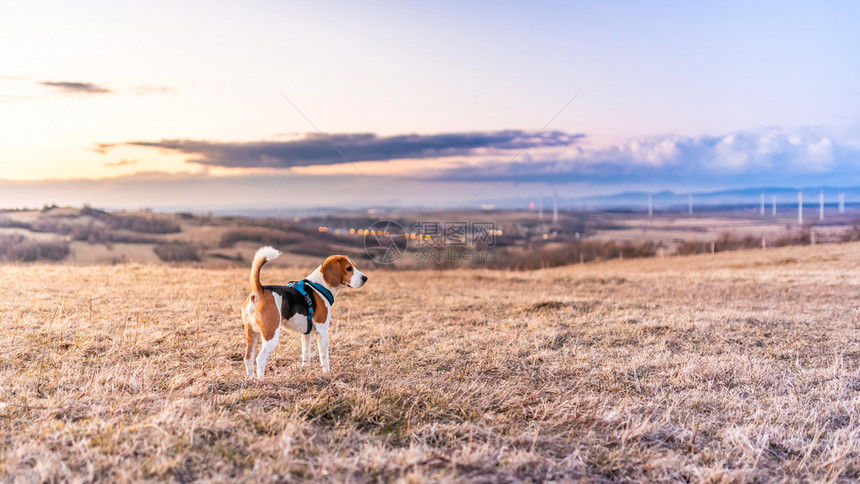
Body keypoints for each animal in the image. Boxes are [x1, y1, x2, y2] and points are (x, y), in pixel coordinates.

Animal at [240, 246, 368, 378]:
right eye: (349, 268)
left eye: (354, 266)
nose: (365, 278)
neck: (320, 285)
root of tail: (259, 291)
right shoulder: (322, 331)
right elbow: (324, 356)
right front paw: (326, 373)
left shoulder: (306, 333)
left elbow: (306, 354)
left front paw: (304, 369)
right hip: (271, 335)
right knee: (260, 359)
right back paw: (261, 379)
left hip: (252, 334)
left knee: (248, 358)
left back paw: (251, 379)